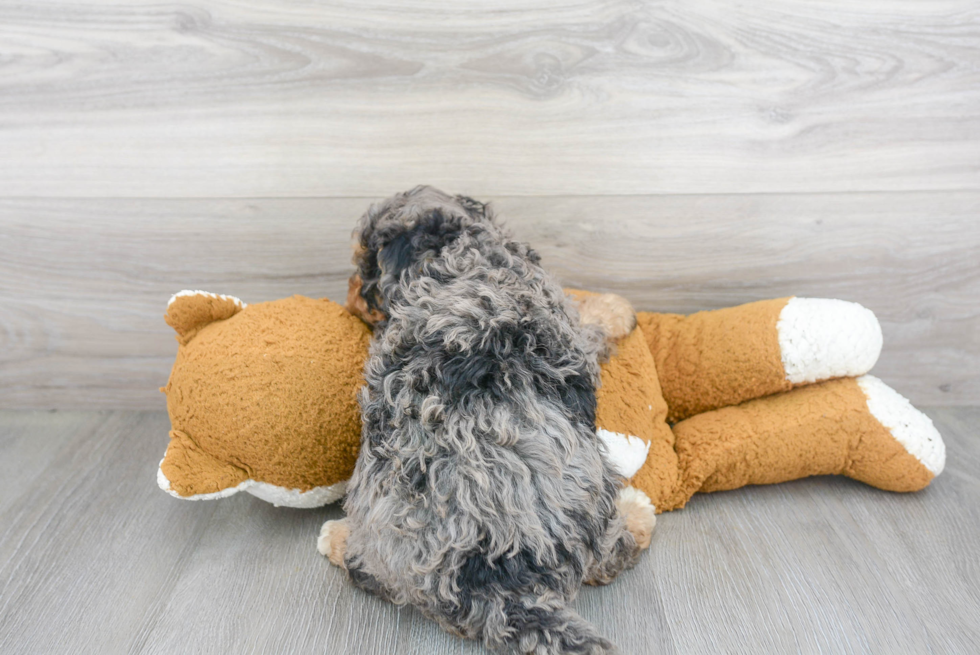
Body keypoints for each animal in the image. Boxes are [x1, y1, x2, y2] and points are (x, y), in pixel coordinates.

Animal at [322, 187, 656, 652]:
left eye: (361, 268)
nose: (348, 297)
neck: (453, 250)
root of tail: (481, 583)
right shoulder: (571, 332)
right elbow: (593, 322)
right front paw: (618, 307)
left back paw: (337, 536)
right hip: (586, 490)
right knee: (610, 555)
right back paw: (639, 513)